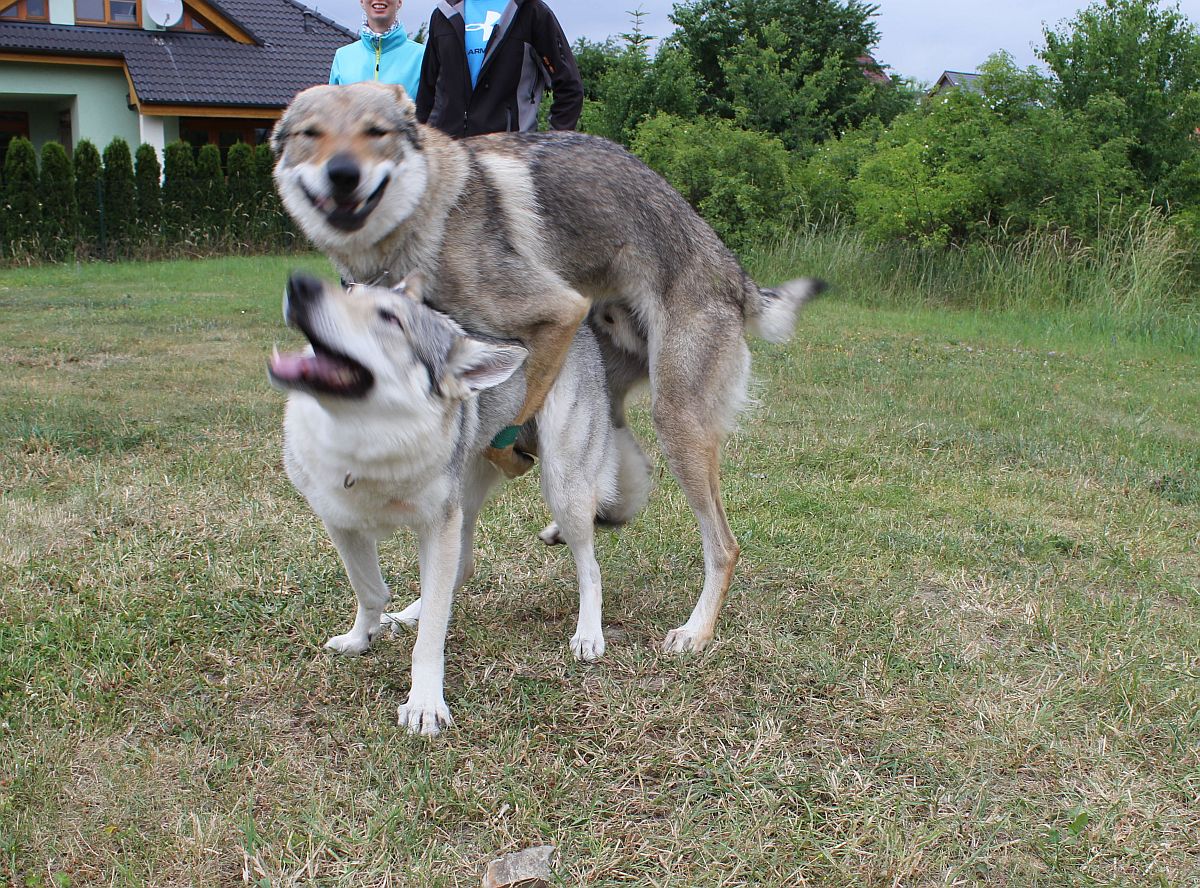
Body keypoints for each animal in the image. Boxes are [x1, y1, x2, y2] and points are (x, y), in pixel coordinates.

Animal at [269, 272, 652, 734]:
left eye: (390, 318)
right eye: (348, 290)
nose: (300, 283)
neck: (363, 441)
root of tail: (582, 329)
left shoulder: (439, 524)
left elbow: (431, 634)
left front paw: (424, 704)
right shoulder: (341, 522)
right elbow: (371, 590)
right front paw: (362, 638)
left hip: (562, 488)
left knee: (590, 567)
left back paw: (588, 634)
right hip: (469, 497)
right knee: (461, 568)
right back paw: (407, 614)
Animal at [271, 81, 823, 665]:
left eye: (375, 133)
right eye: (311, 135)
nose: (343, 173)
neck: (431, 206)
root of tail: (738, 279)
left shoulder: (558, 311)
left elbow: (517, 406)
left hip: (673, 420)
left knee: (719, 544)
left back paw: (692, 630)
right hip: (622, 407)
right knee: (621, 480)